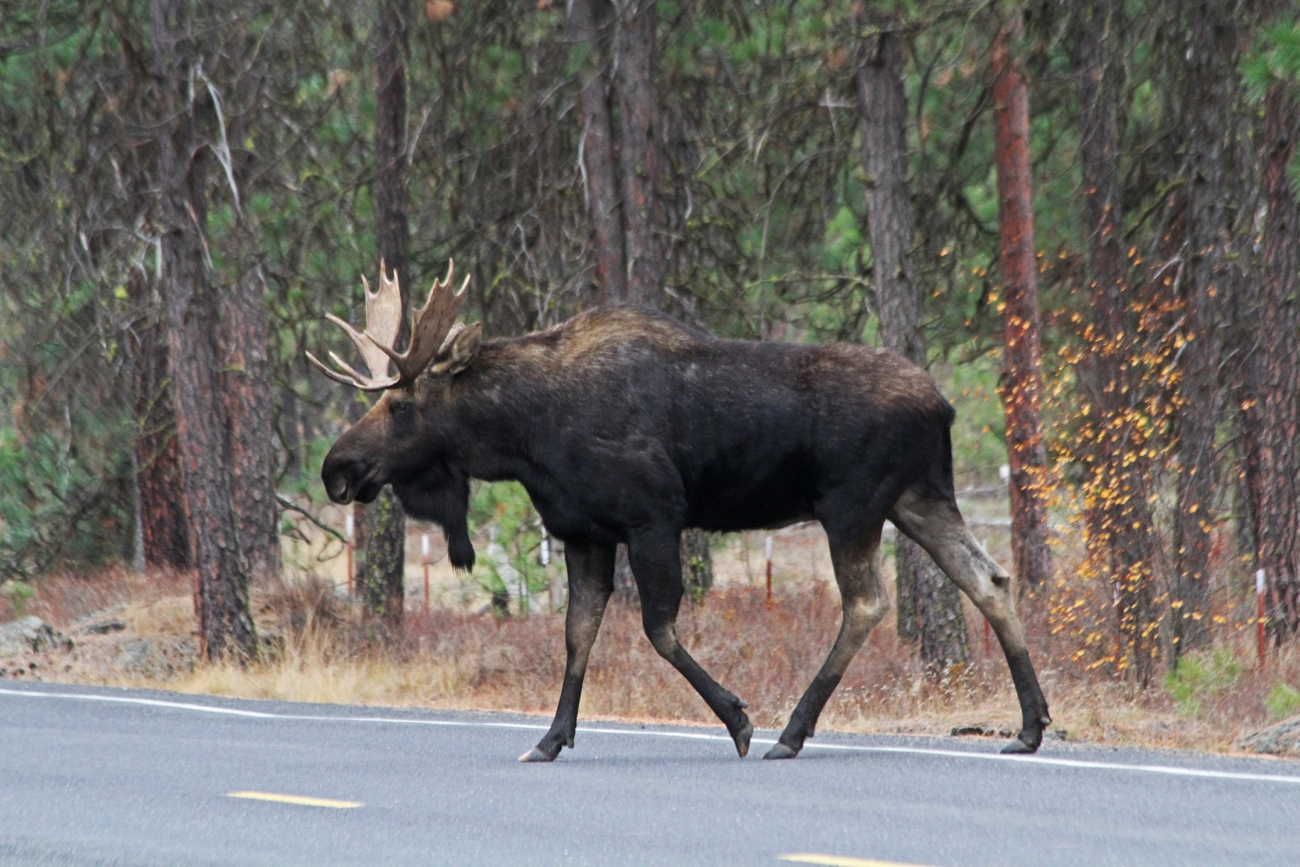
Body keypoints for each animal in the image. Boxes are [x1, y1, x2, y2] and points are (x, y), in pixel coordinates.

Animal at [310, 261, 1052, 762]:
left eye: (401, 406)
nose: (336, 468)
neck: (522, 440)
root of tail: (944, 407)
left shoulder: (653, 518)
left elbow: (658, 629)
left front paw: (739, 720)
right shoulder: (583, 531)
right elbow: (578, 634)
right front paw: (550, 738)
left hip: (854, 505)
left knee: (867, 602)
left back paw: (791, 731)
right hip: (919, 499)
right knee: (989, 579)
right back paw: (1029, 726)